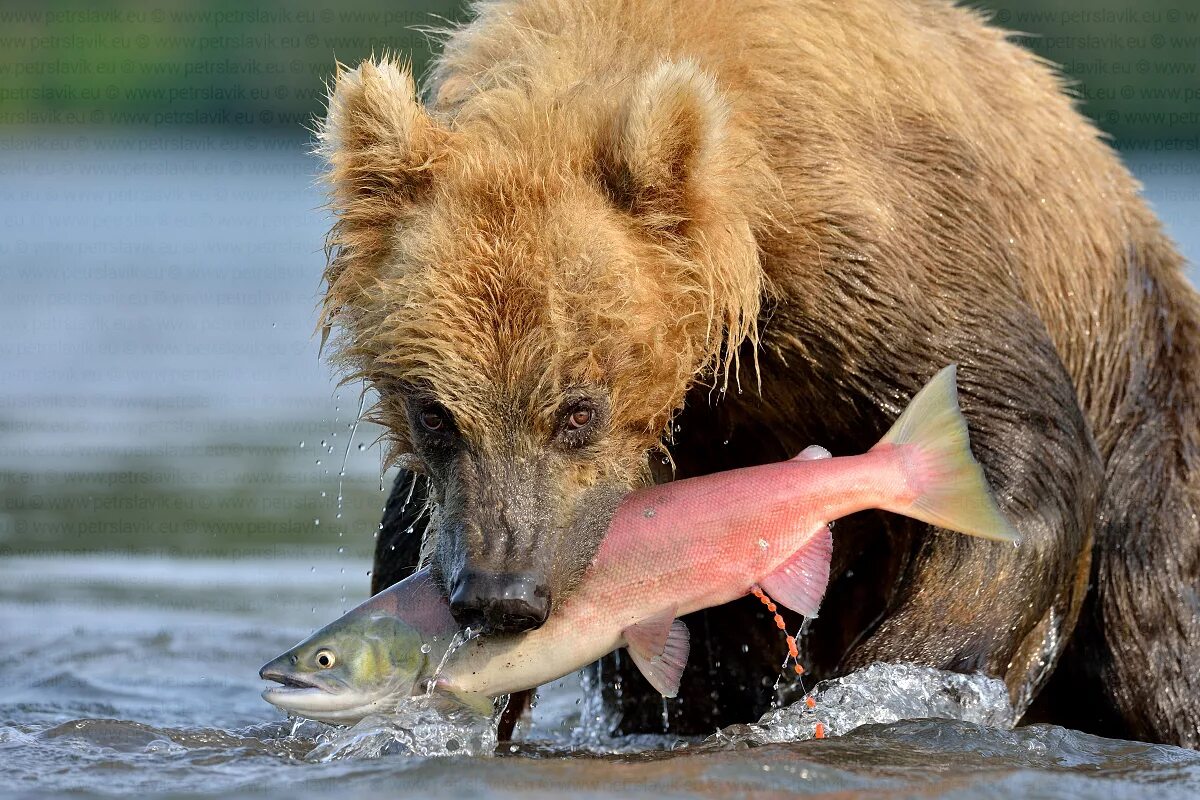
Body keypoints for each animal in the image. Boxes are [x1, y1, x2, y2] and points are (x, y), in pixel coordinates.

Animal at [319, 1, 1200, 753]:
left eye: (577, 411)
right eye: (434, 412)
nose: (501, 592)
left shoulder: (880, 253)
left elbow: (1010, 451)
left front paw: (883, 684)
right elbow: (411, 530)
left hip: (1152, 415)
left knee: (1157, 627)